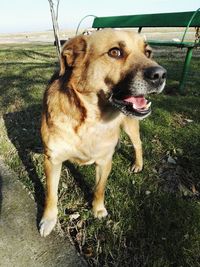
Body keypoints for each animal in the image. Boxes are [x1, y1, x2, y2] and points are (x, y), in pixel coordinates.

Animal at [39, 29, 166, 239]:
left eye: (148, 52)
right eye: (115, 52)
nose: (161, 74)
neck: (91, 120)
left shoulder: (105, 161)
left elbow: (99, 189)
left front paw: (98, 209)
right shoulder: (52, 160)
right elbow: (51, 194)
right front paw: (48, 219)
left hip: (130, 127)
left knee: (138, 144)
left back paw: (138, 164)